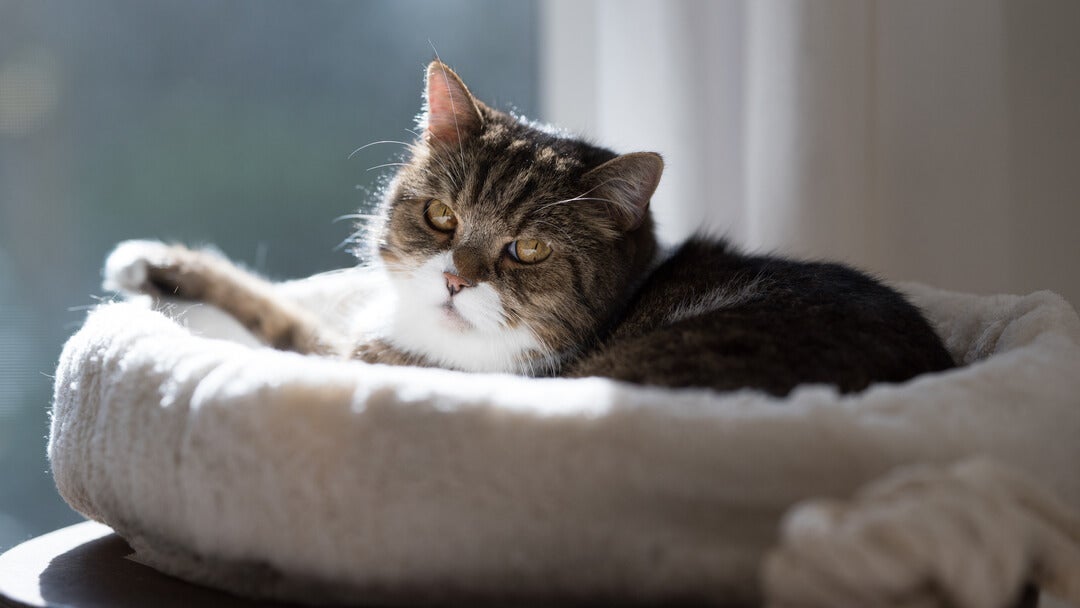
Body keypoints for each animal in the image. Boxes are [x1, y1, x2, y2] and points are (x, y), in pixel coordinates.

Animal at [103, 60, 954, 395]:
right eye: (442, 216)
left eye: (530, 248)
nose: (455, 277)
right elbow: (283, 306)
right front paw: (157, 266)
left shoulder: (373, 361)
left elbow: (291, 336)